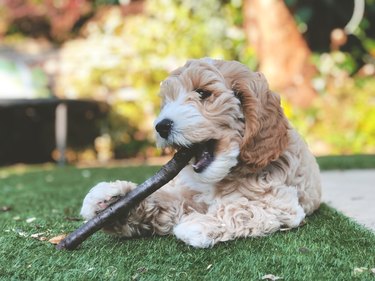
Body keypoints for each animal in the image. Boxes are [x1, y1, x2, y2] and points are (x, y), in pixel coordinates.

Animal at [81, 58, 322, 246]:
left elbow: (240, 207)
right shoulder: (188, 194)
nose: (161, 126)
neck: (225, 174)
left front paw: (199, 223)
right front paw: (115, 203)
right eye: (166, 101)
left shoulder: (282, 205)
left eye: (203, 93)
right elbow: (166, 200)